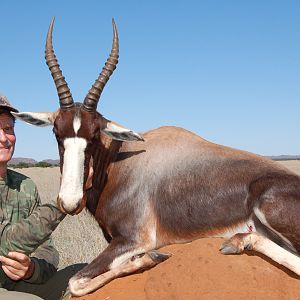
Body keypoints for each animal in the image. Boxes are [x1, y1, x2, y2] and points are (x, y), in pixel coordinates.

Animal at [13, 18, 300, 296]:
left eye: (94, 134)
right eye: (56, 132)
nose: (70, 202)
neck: (121, 163)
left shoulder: (135, 239)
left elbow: (76, 281)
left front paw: (151, 258)